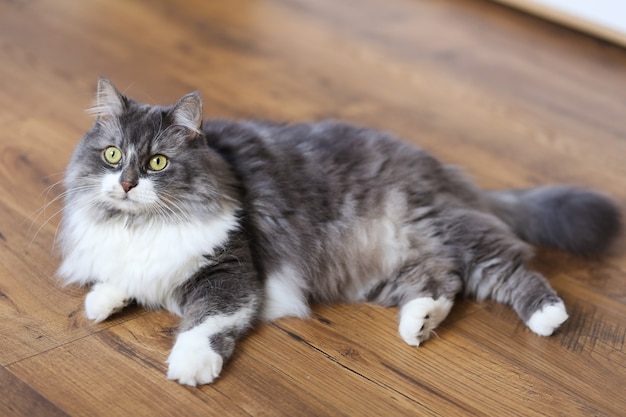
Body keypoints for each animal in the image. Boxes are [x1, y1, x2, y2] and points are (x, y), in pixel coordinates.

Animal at [57, 77, 620, 384]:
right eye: (113, 156)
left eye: (157, 162)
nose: (127, 184)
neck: (140, 224)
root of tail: (443, 170)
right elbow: (124, 277)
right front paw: (102, 300)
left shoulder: (231, 272)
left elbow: (203, 324)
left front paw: (190, 367)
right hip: (386, 269)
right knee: (442, 282)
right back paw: (418, 325)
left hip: (447, 229)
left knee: (509, 271)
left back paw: (548, 316)